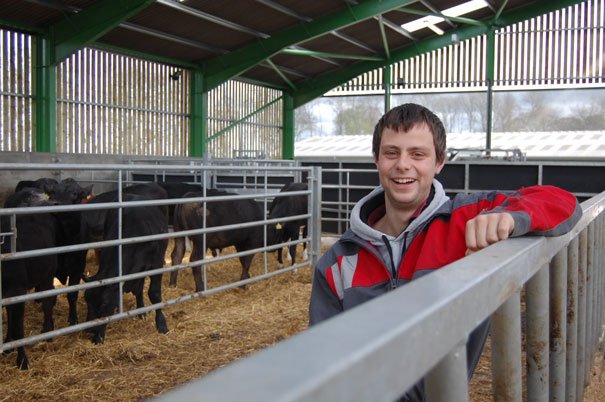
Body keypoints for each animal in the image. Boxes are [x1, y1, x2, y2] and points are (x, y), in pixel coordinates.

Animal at [1, 187, 59, 370]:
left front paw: (22, 360)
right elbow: (11, 318)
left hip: (48, 272)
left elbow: (19, 327)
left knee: (48, 300)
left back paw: (48, 330)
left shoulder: (18, 291)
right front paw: (8, 344)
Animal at [82, 193, 168, 344]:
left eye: (104, 304)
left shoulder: (156, 265)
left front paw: (161, 324)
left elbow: (154, 294)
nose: (89, 329)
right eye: (87, 300)